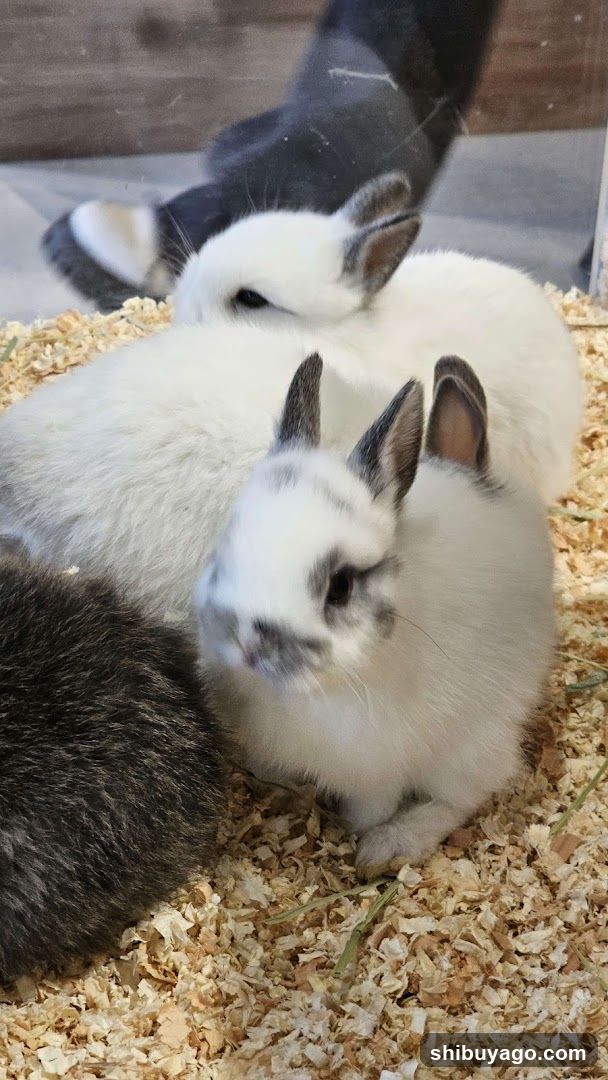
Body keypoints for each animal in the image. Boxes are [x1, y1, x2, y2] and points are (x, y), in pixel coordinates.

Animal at [195, 355, 555, 872]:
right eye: (225, 545)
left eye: (341, 586)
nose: (246, 646)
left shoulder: (379, 769)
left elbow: (375, 805)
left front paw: (364, 835)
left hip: (474, 744)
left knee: (465, 794)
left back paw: (392, 844)